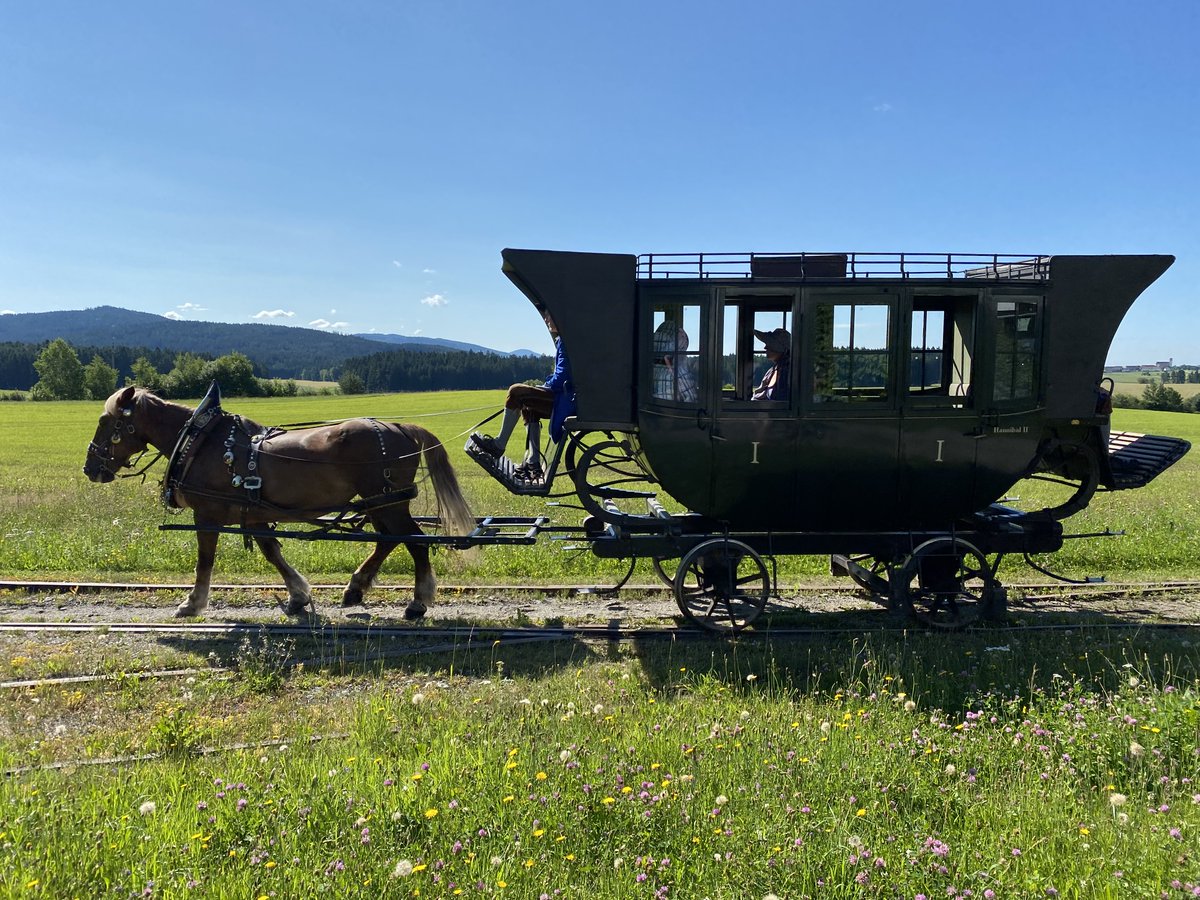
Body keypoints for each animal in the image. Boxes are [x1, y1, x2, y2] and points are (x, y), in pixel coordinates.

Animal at [82, 384, 475, 624]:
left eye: (106, 422)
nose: (90, 468)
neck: (200, 441)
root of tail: (399, 427)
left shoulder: (207, 513)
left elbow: (205, 561)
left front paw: (191, 603)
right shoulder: (253, 512)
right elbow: (272, 552)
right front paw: (298, 596)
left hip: (389, 503)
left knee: (415, 542)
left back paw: (417, 602)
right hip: (380, 502)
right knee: (388, 541)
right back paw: (355, 588)